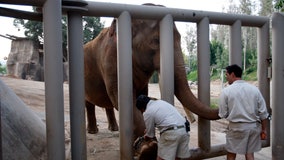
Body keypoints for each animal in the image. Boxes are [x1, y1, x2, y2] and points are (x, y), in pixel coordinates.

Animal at [83, 2, 219, 138]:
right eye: (156, 41)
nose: (190, 122)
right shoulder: (111, 61)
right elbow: (121, 98)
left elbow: (141, 95)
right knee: (88, 103)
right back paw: (93, 131)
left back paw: (114, 129)